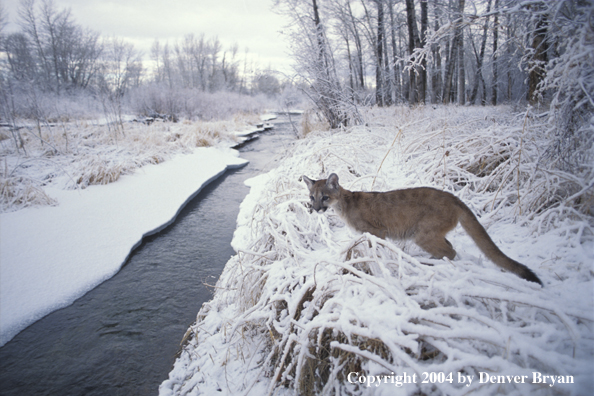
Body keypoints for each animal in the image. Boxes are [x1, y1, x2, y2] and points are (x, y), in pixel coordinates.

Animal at [302, 173, 540, 284]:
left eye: (325, 197)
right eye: (312, 197)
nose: (315, 209)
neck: (344, 204)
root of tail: (454, 197)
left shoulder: (377, 231)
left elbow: (375, 247)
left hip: (422, 234)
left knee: (451, 251)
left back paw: (429, 264)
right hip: (431, 233)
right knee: (449, 246)